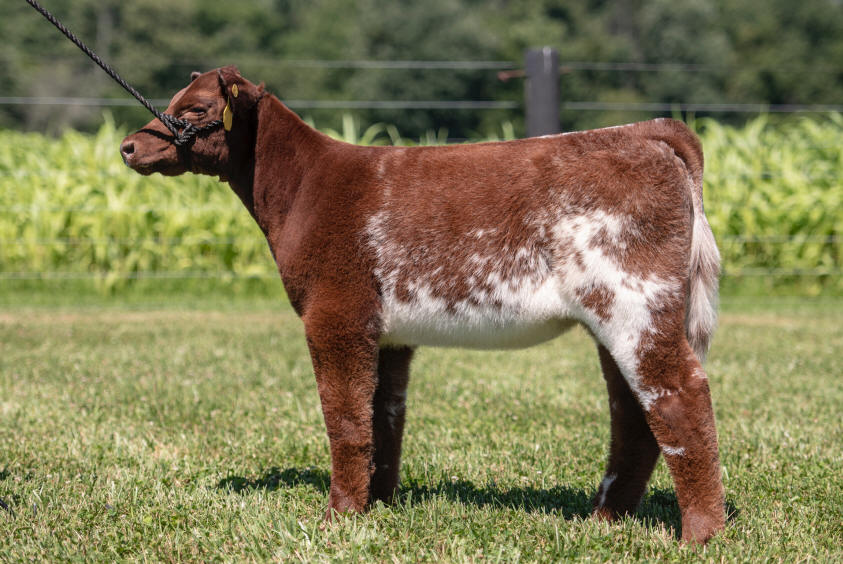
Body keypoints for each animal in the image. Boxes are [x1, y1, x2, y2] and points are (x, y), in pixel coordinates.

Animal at [120, 66, 724, 543]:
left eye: (195, 109)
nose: (128, 145)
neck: (300, 190)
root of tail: (646, 132)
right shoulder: (387, 332)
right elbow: (383, 415)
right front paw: (377, 503)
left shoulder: (335, 314)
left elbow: (345, 418)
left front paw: (338, 517)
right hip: (615, 316)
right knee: (632, 410)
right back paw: (603, 520)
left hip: (635, 301)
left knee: (679, 394)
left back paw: (700, 533)